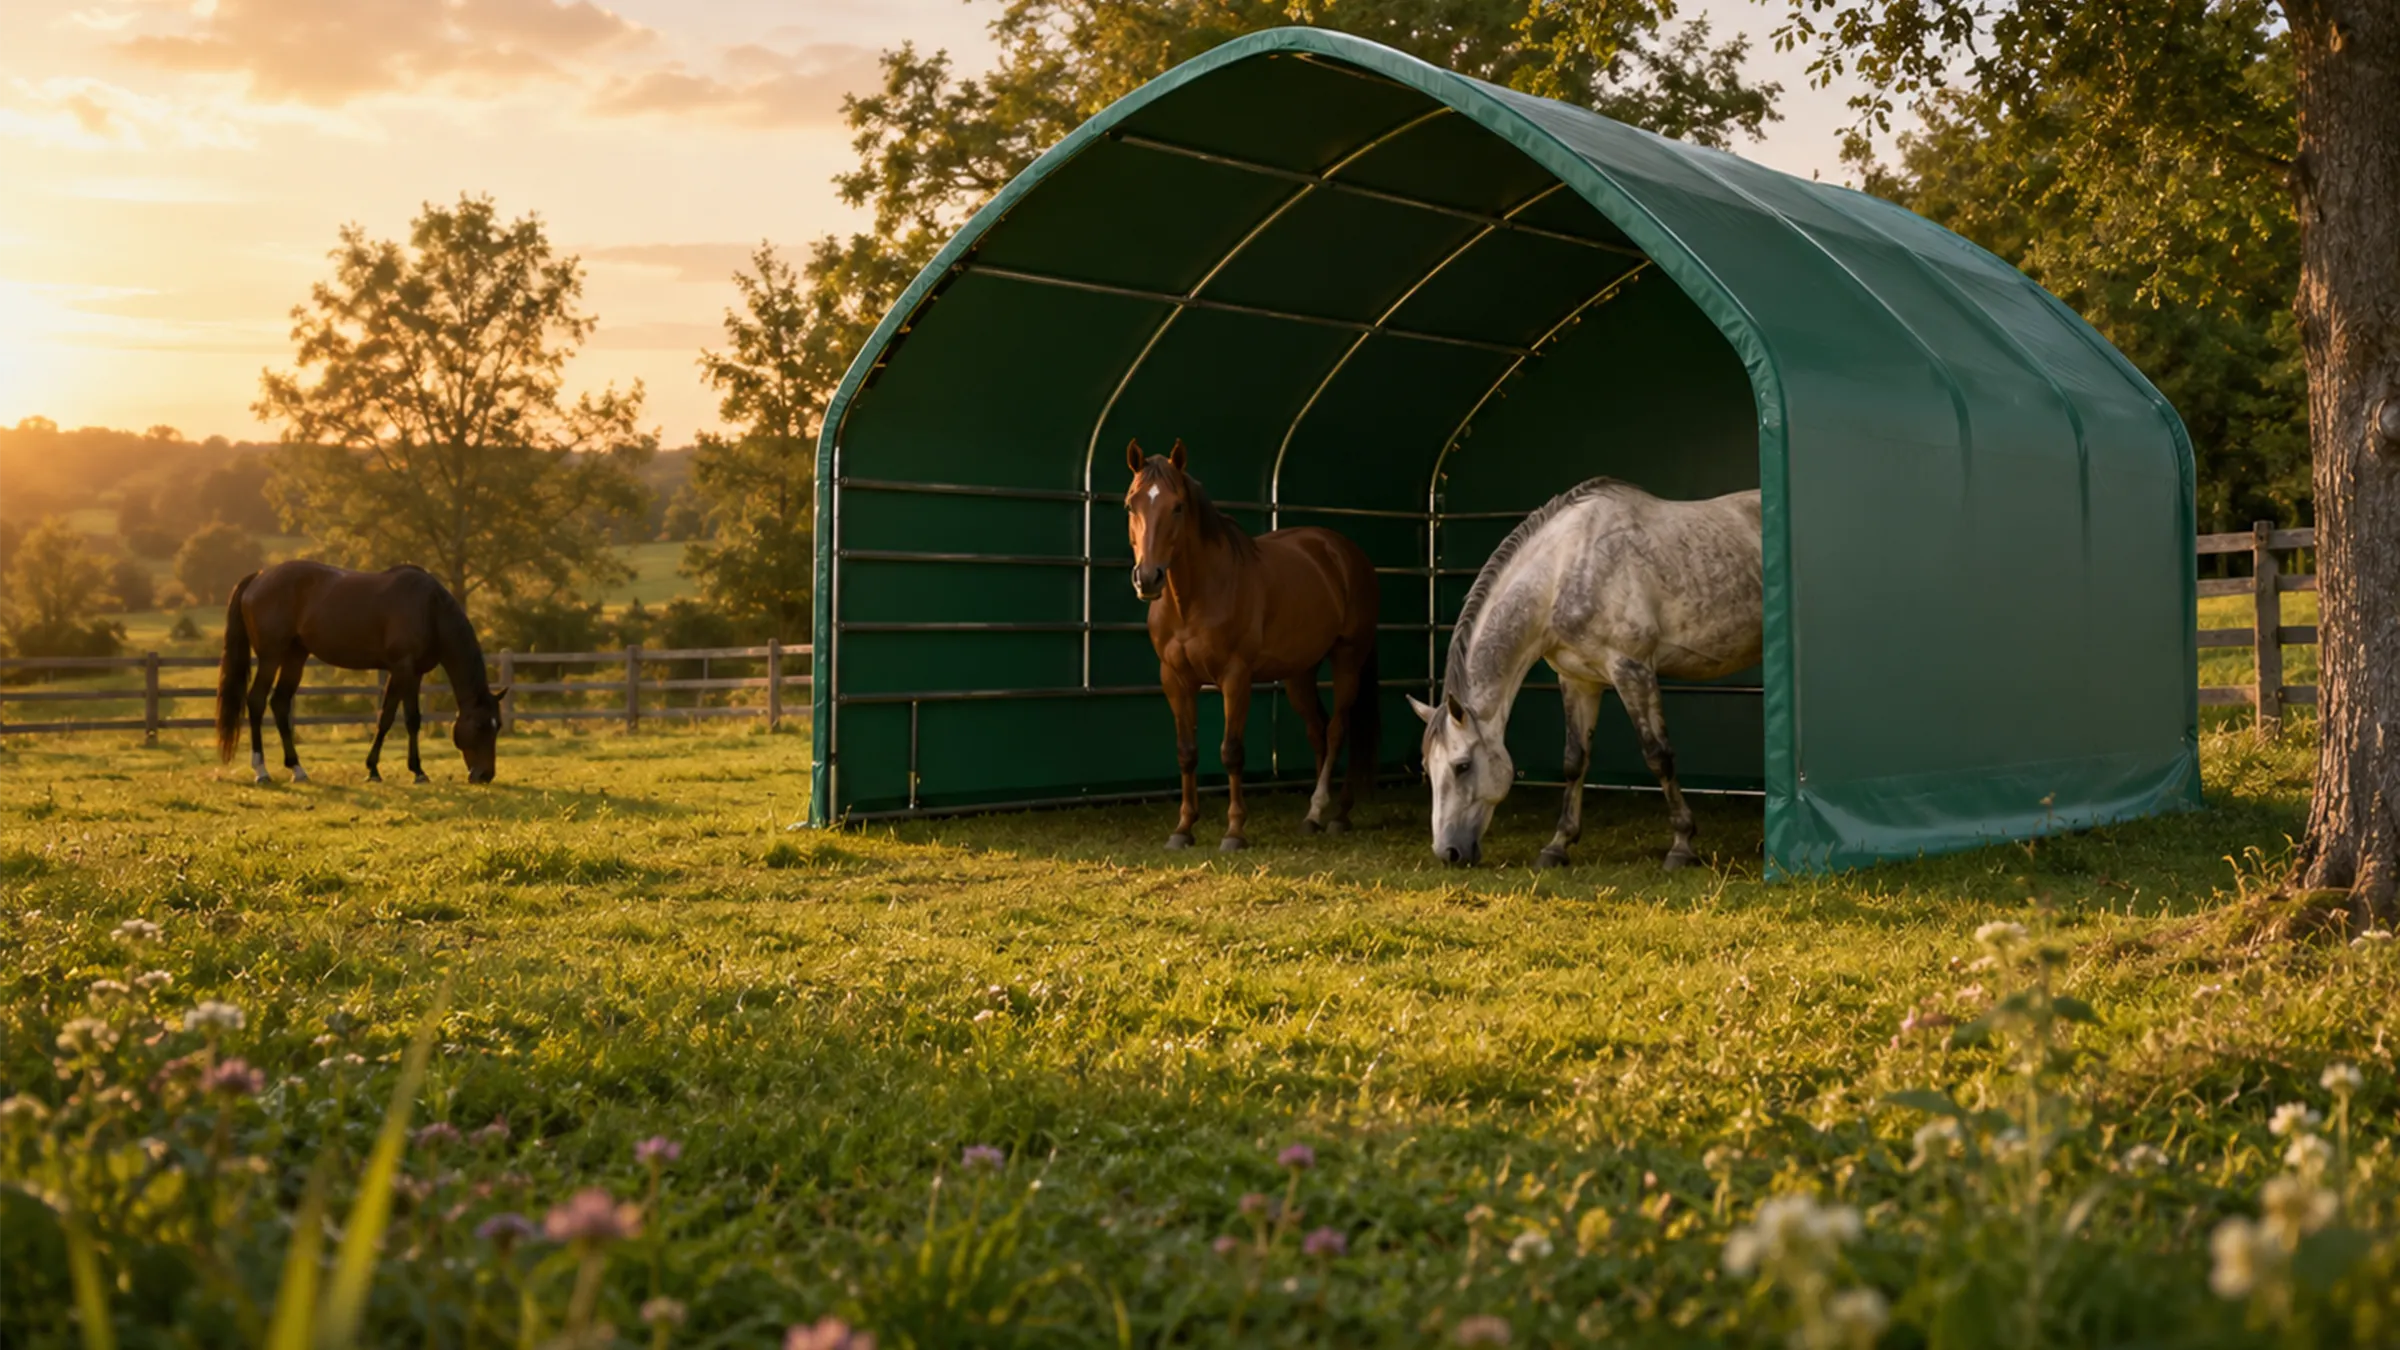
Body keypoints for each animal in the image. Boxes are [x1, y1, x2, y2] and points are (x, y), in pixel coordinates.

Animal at [214, 561, 509, 785]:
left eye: (498, 726)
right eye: (480, 726)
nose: (485, 775)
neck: (430, 609)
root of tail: (259, 577)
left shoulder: (410, 673)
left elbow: (394, 718)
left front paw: (383, 770)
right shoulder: (403, 668)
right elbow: (403, 718)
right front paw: (409, 771)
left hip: (295, 656)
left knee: (279, 703)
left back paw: (297, 769)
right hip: (270, 657)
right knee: (256, 701)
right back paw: (261, 770)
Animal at [1124, 439, 1382, 851]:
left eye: (1177, 506)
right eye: (1131, 505)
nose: (1148, 578)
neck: (1194, 597)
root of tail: (1345, 552)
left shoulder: (1235, 678)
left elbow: (1231, 752)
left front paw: (1234, 832)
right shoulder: (1175, 679)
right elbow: (1186, 752)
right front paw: (1183, 829)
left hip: (1347, 660)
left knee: (1338, 730)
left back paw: (1338, 815)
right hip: (1299, 674)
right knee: (1318, 732)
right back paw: (1312, 816)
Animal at [1408, 478, 1761, 869]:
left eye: (1462, 766)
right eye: (1427, 768)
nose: (1448, 853)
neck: (1563, 572)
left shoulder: (1632, 669)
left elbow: (1658, 754)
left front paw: (1682, 846)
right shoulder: (1578, 680)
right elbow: (1574, 760)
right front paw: (1557, 846)